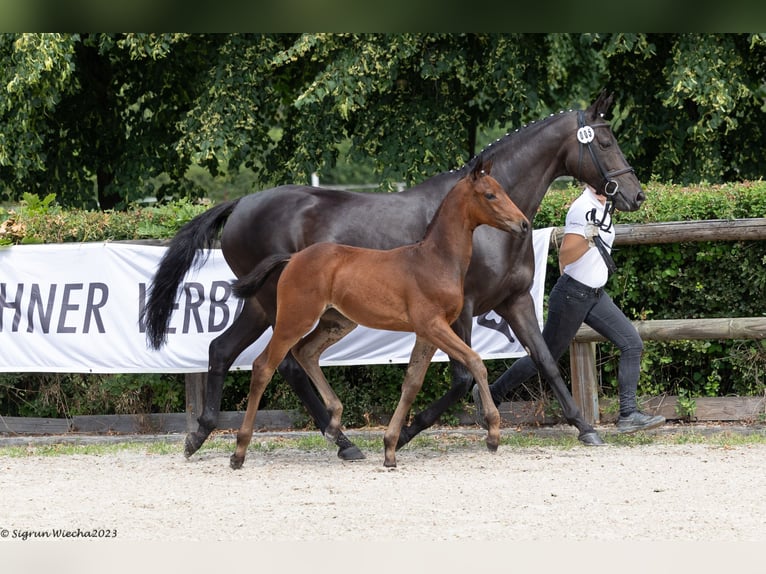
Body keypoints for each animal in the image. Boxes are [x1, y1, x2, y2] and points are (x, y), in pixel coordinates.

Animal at [228, 160, 528, 470]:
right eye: (490, 195)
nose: (524, 224)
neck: (435, 260)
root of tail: (294, 258)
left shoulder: (427, 333)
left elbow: (412, 383)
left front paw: (390, 448)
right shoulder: (434, 325)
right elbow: (475, 361)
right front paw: (492, 433)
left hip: (337, 321)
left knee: (306, 352)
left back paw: (334, 426)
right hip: (294, 318)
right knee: (264, 365)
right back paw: (239, 451)